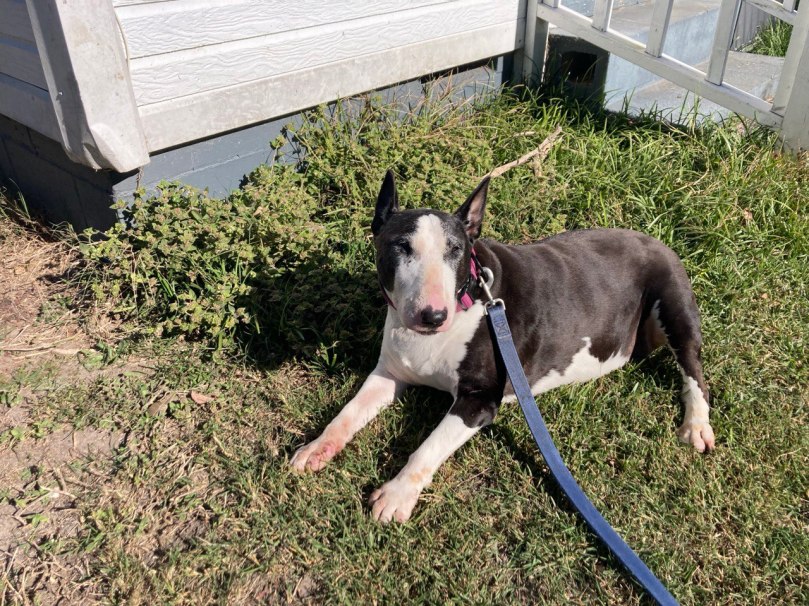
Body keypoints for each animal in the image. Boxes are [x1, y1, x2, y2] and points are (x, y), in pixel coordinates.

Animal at [291, 171, 715, 523]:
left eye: (455, 249)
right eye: (400, 247)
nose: (433, 316)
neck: (467, 299)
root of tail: (652, 237)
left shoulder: (480, 400)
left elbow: (428, 446)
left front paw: (396, 494)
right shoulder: (389, 374)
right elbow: (348, 412)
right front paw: (317, 447)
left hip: (673, 302)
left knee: (693, 368)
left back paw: (696, 424)